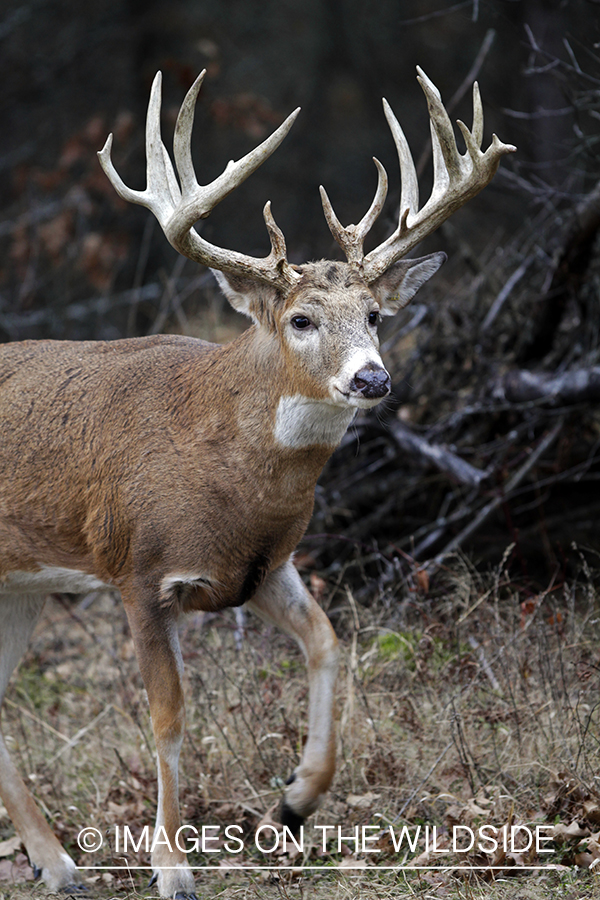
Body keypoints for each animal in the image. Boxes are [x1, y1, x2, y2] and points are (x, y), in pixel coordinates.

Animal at [1, 67, 516, 896]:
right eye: (301, 319)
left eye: (375, 314)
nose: (372, 379)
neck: (224, 467)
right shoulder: (140, 574)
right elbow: (169, 719)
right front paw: (173, 867)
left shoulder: (266, 566)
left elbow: (329, 643)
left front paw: (296, 802)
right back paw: (60, 859)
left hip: (24, 584)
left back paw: (57, 862)